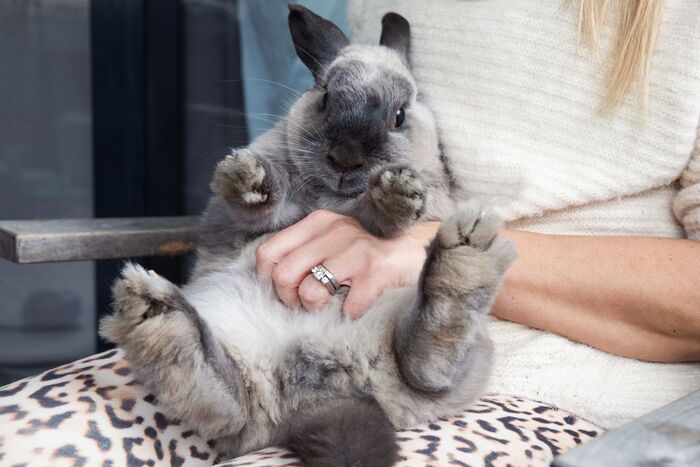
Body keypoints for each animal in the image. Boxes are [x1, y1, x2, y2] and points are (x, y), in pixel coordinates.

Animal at [100, 4, 516, 467]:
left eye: (399, 115)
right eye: (326, 97)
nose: (346, 158)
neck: (332, 195)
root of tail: (323, 390)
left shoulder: (417, 205)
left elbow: (378, 220)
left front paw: (394, 194)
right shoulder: (257, 217)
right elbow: (267, 205)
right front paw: (246, 177)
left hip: (442, 354)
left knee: (425, 365)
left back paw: (463, 258)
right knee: (228, 402)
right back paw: (158, 315)